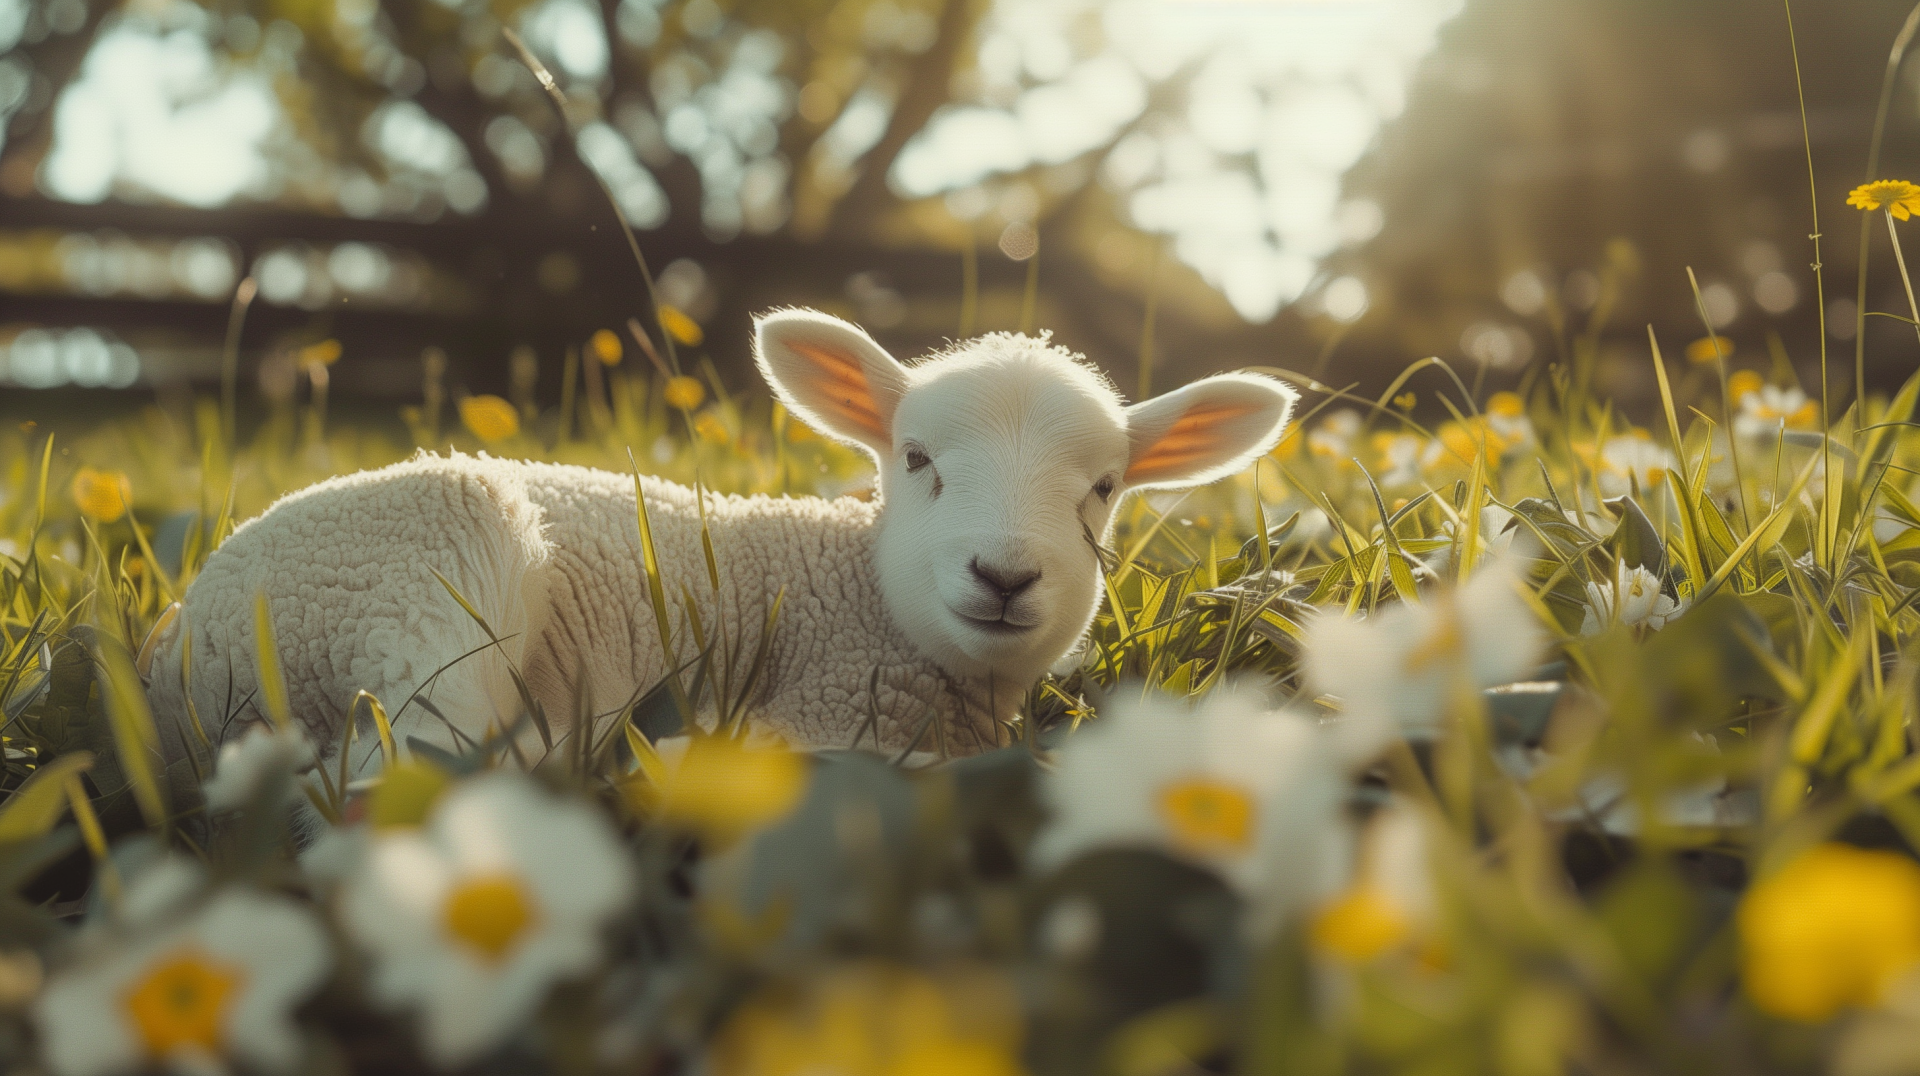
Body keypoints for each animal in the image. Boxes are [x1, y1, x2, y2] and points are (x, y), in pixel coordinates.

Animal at [143, 309, 1297, 779]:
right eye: (916, 456)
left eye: (1102, 490)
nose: (1005, 574)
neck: (862, 590)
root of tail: (180, 651)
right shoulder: (826, 698)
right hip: (433, 571)